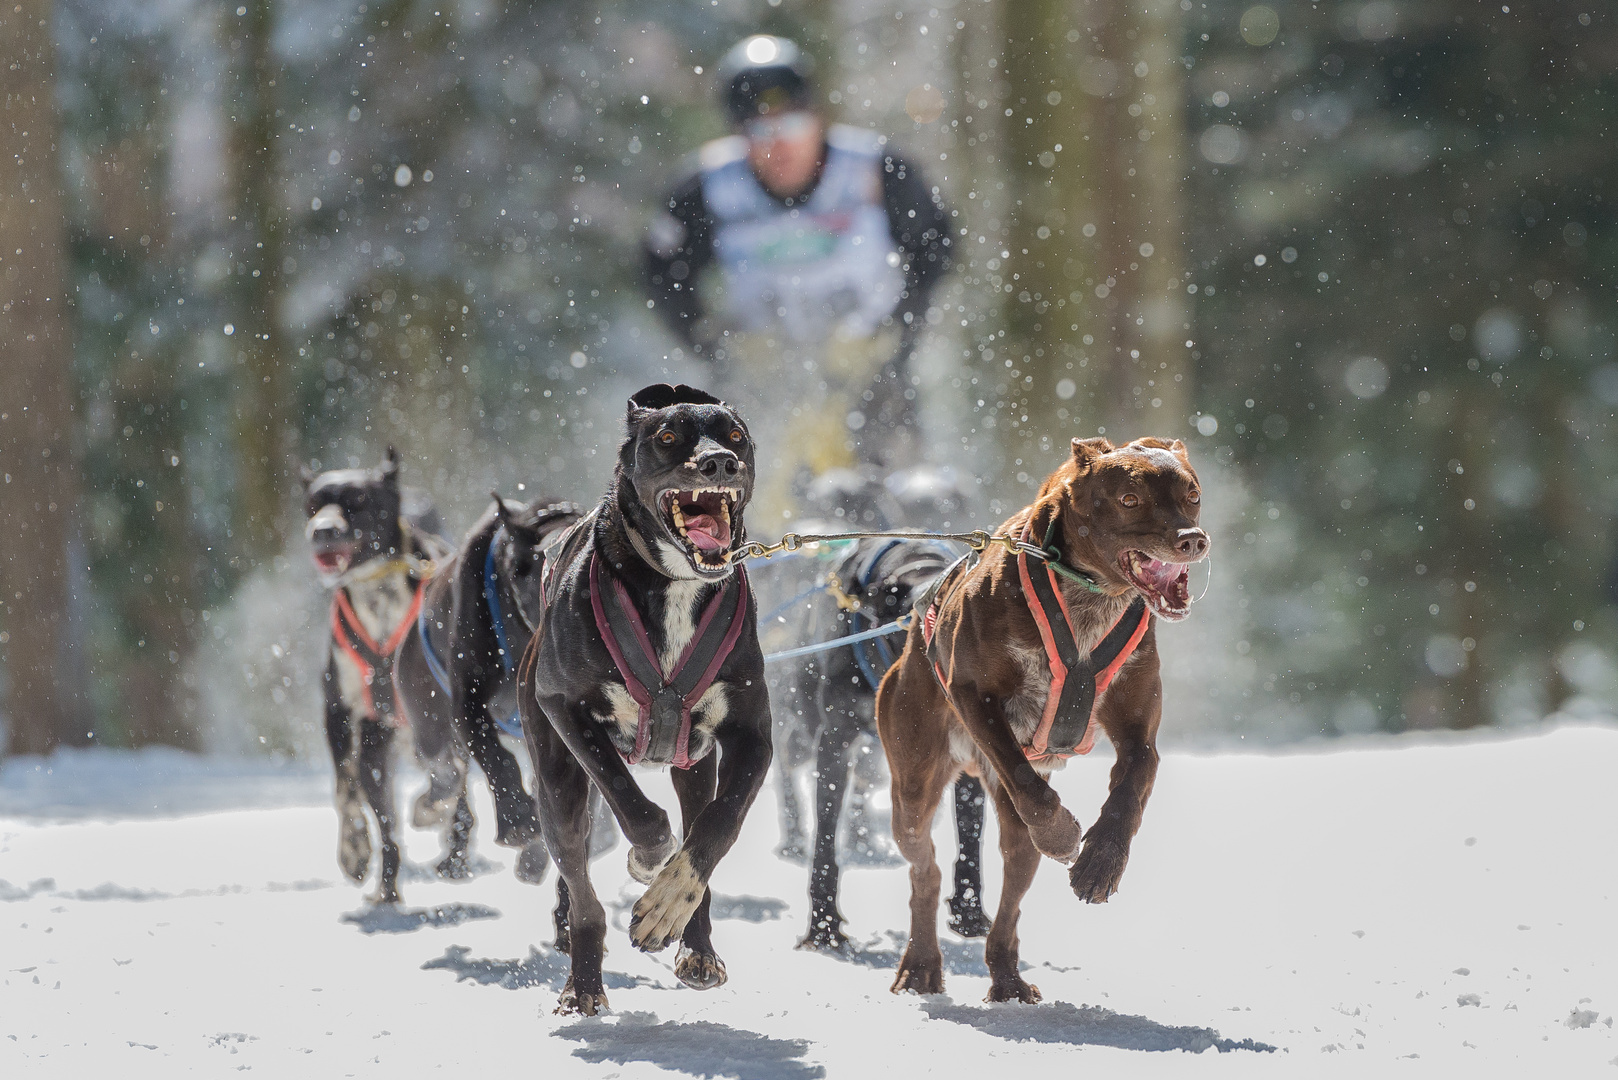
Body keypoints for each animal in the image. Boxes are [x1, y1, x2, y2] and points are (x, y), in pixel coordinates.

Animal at [304, 453, 459, 906]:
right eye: (313, 505)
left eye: (358, 499)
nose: (323, 531)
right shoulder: (338, 712)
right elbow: (345, 788)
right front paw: (353, 850)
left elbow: (451, 777)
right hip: (377, 747)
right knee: (386, 821)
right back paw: (388, 885)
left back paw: (455, 852)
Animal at [389, 495, 582, 880]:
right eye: (531, 568)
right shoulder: (468, 702)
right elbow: (497, 756)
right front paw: (518, 821)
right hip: (426, 721)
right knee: (447, 771)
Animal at [514, 383, 773, 1016]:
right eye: (667, 437)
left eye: (735, 436)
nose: (718, 463)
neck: (675, 583)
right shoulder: (566, 708)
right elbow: (635, 807)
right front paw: (649, 854)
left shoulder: (752, 733)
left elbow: (718, 827)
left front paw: (667, 901)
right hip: (556, 783)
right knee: (580, 887)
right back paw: (583, 984)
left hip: (694, 767)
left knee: (699, 826)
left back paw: (694, 944)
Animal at [873, 437, 1203, 1003]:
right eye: (1131, 498)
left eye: (1193, 494)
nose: (1192, 539)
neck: (1090, 596)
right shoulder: (973, 696)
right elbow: (1026, 779)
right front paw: (1065, 836)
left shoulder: (1139, 733)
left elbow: (1131, 790)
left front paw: (1100, 862)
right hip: (914, 784)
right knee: (927, 870)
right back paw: (920, 964)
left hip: (1005, 832)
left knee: (1011, 891)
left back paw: (1005, 976)